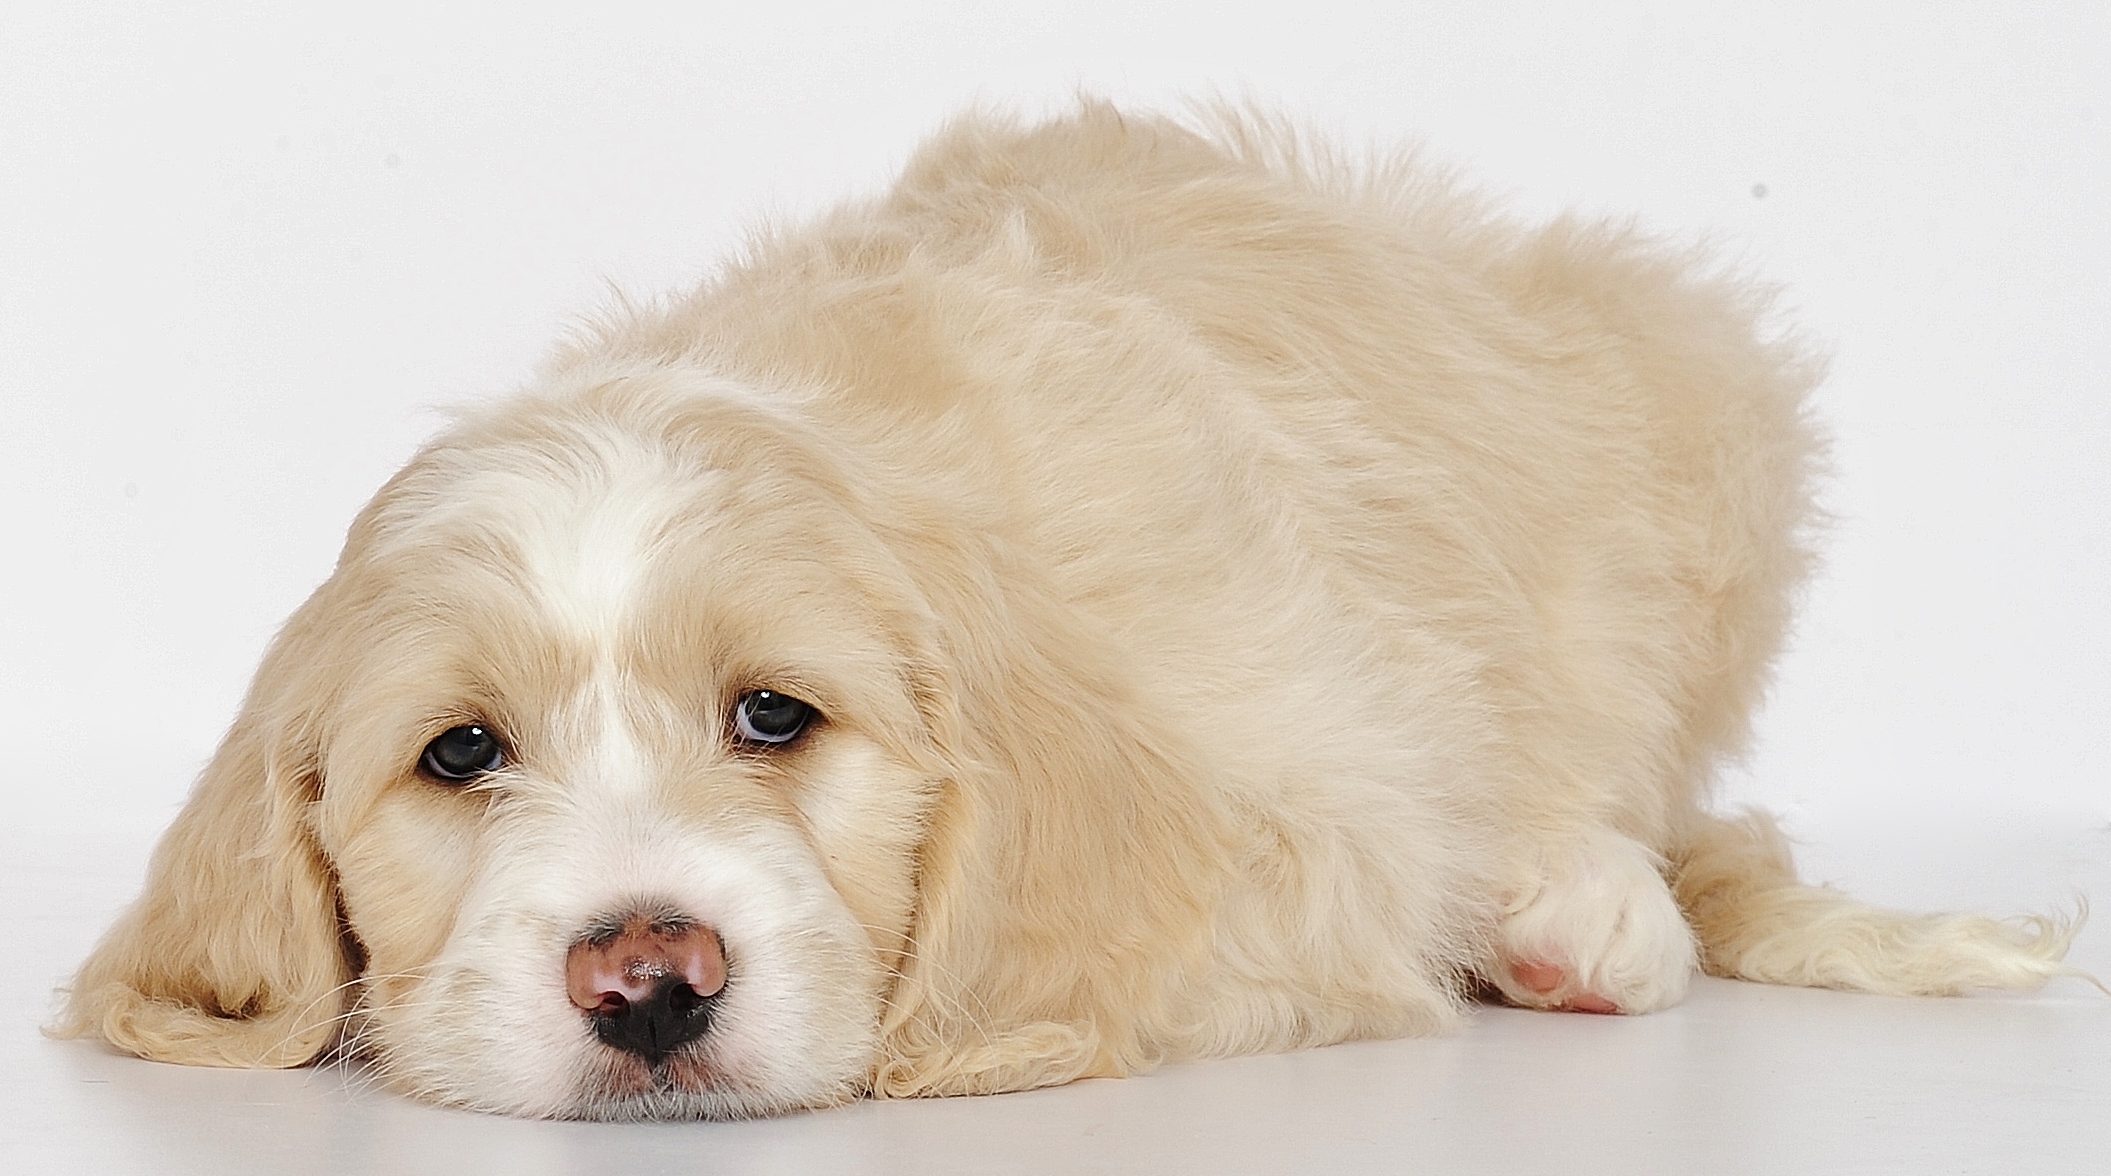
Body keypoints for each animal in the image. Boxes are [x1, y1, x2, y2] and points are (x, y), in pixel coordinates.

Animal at [57, 101, 2082, 1119]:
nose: (647, 981)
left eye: (774, 716)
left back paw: (1576, 912)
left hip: (1678, 422)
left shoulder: (1304, 799)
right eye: (459, 753)